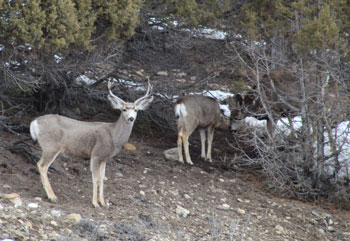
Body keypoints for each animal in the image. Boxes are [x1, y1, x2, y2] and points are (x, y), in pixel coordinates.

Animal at [30, 79, 154, 207]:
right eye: (124, 109)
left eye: (136, 110)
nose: (131, 118)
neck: (113, 136)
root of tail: (34, 122)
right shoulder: (96, 154)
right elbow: (96, 178)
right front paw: (95, 203)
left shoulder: (105, 158)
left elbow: (103, 178)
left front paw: (103, 203)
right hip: (51, 146)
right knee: (42, 165)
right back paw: (52, 197)